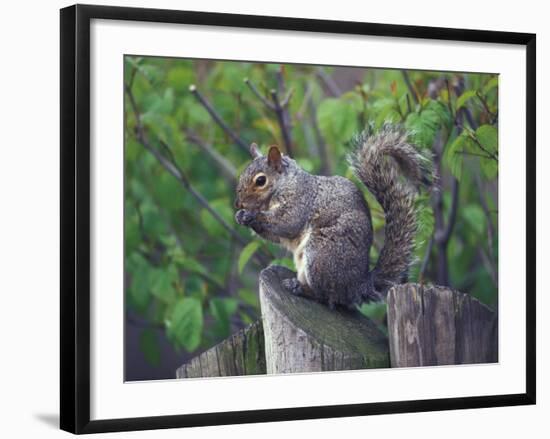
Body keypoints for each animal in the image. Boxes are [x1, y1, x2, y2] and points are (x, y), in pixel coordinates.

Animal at [235, 124, 434, 310]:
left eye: (261, 181)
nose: (238, 204)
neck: (284, 184)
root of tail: (357, 286)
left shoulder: (300, 202)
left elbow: (286, 223)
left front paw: (252, 215)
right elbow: (276, 235)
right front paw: (240, 216)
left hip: (321, 254)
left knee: (326, 297)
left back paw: (300, 288)